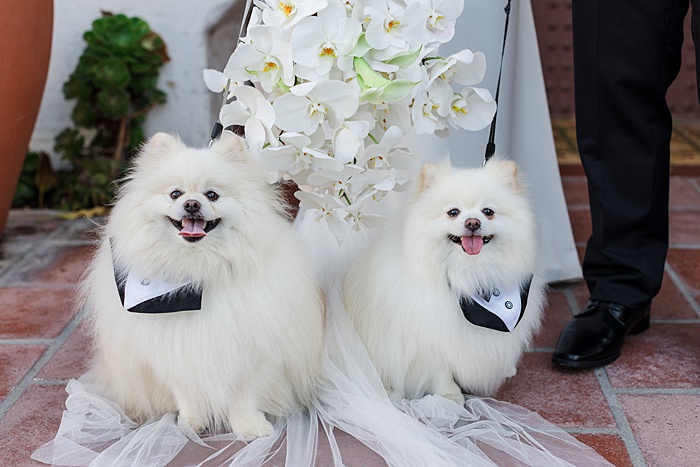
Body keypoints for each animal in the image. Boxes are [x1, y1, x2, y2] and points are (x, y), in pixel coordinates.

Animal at [81, 131, 326, 438]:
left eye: (212, 195)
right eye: (175, 193)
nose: (192, 204)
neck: (198, 273)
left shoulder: (253, 353)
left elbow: (244, 396)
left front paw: (250, 427)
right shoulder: (172, 354)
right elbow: (186, 393)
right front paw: (190, 423)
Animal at [342, 159, 544, 404]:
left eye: (488, 212)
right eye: (452, 212)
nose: (473, 222)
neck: (470, 276)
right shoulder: (431, 340)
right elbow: (441, 371)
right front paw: (450, 395)